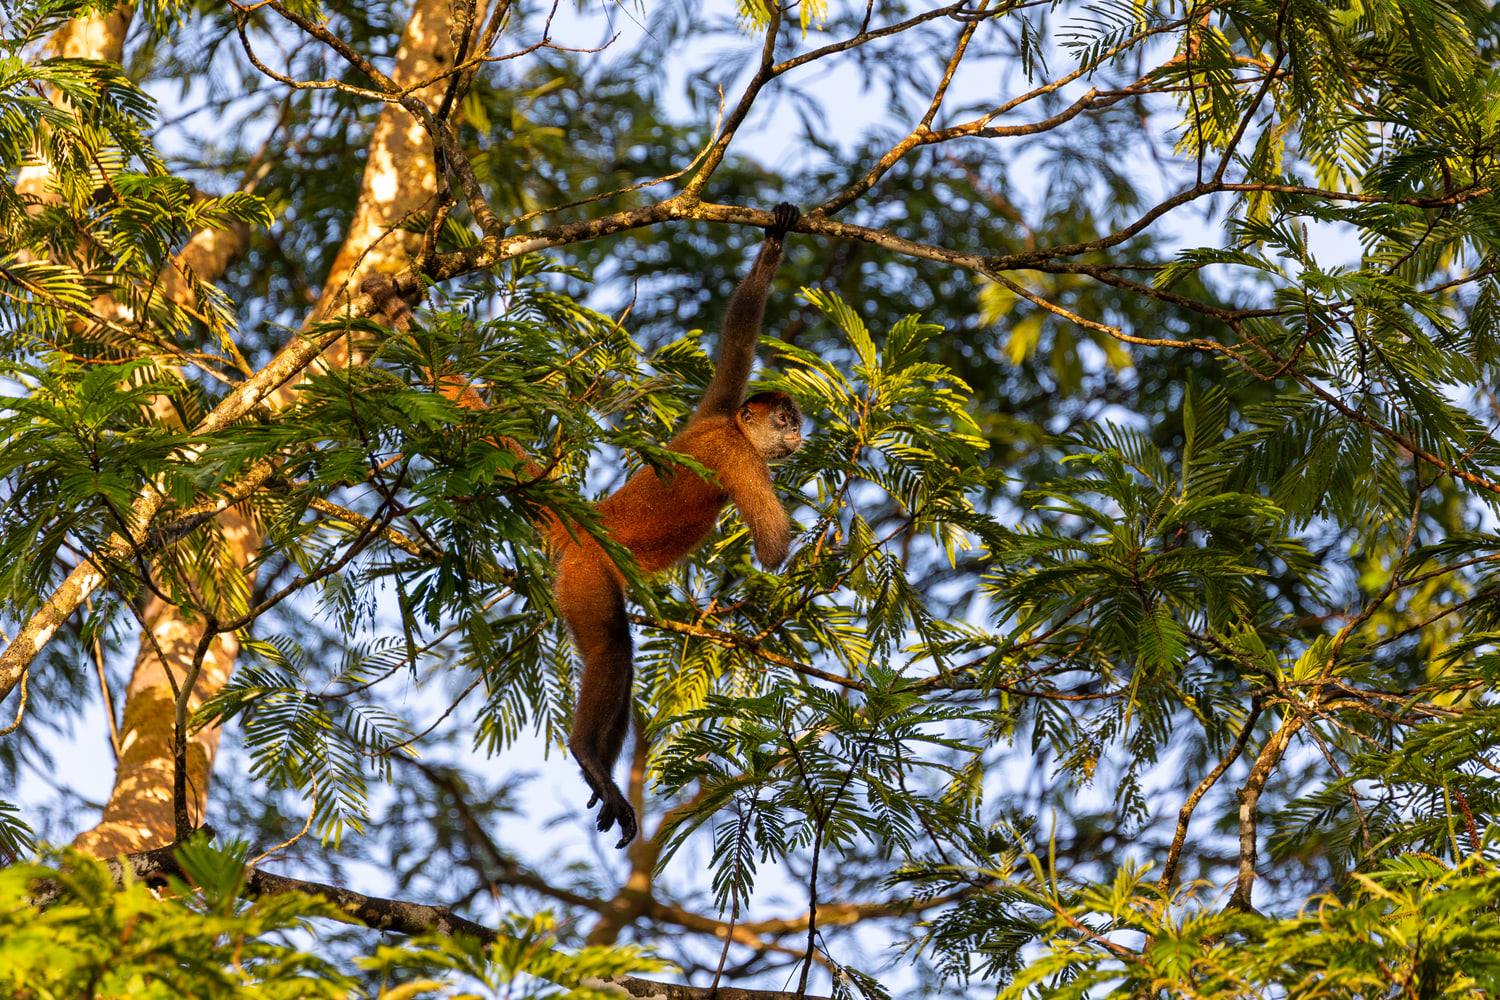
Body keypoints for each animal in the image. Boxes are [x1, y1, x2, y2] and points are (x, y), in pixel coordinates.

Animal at [357, 203, 804, 847]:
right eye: (786, 421)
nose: (800, 435)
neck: (730, 432)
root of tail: (583, 525)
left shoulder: (717, 410)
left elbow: (739, 336)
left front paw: (774, 242)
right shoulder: (738, 456)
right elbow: (771, 546)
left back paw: (602, 779)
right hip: (586, 574)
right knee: (612, 647)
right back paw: (588, 754)